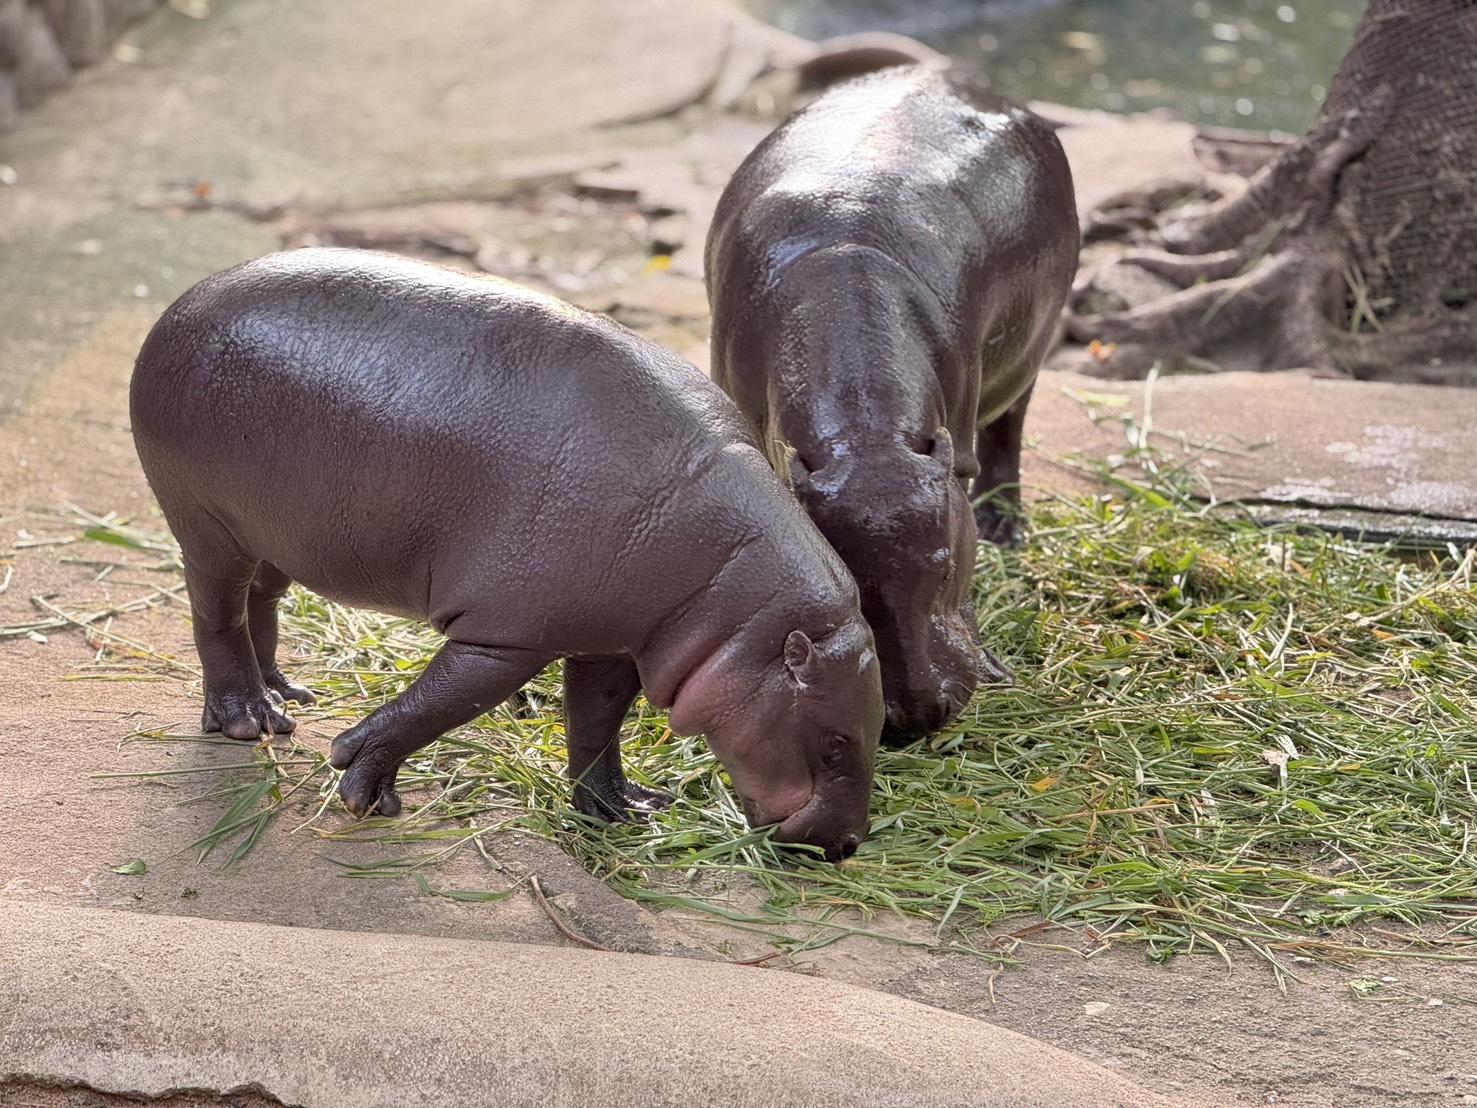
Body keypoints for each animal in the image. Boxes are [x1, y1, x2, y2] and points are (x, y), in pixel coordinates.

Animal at [130, 248, 883, 860]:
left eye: (877, 726)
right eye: (833, 742)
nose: (846, 844)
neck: (738, 606)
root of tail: (181, 303)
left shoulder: (608, 640)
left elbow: (594, 723)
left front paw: (624, 809)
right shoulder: (505, 636)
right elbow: (436, 706)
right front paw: (365, 790)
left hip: (277, 534)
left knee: (261, 600)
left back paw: (285, 694)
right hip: (206, 525)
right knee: (218, 616)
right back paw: (248, 720)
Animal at [706, 67, 1079, 743]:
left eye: (946, 563)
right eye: (844, 584)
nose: (917, 714)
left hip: (1029, 357)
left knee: (1009, 432)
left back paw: (1006, 528)